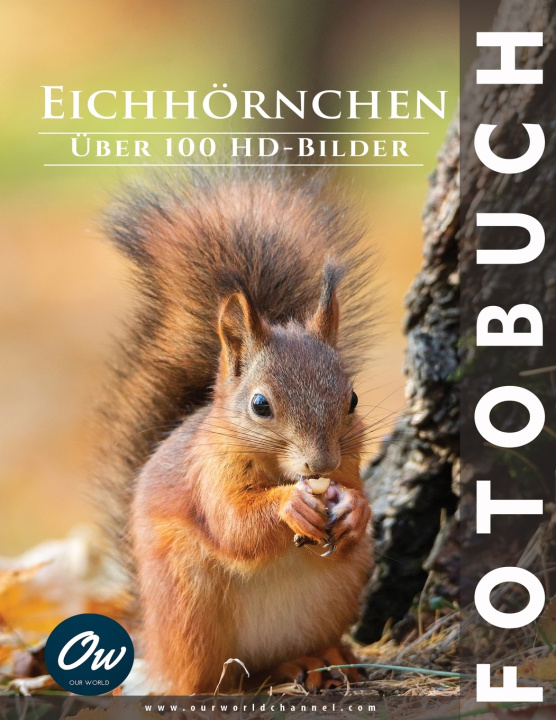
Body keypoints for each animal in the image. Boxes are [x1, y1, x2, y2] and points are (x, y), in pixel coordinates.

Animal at [94, 165, 375, 694]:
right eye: (260, 405)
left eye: (352, 399)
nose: (321, 463)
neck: (279, 470)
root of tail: (151, 641)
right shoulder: (208, 473)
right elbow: (233, 525)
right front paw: (290, 507)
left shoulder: (350, 462)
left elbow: (355, 498)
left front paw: (353, 508)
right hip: (188, 602)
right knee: (207, 677)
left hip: (337, 591)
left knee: (275, 661)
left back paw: (317, 659)